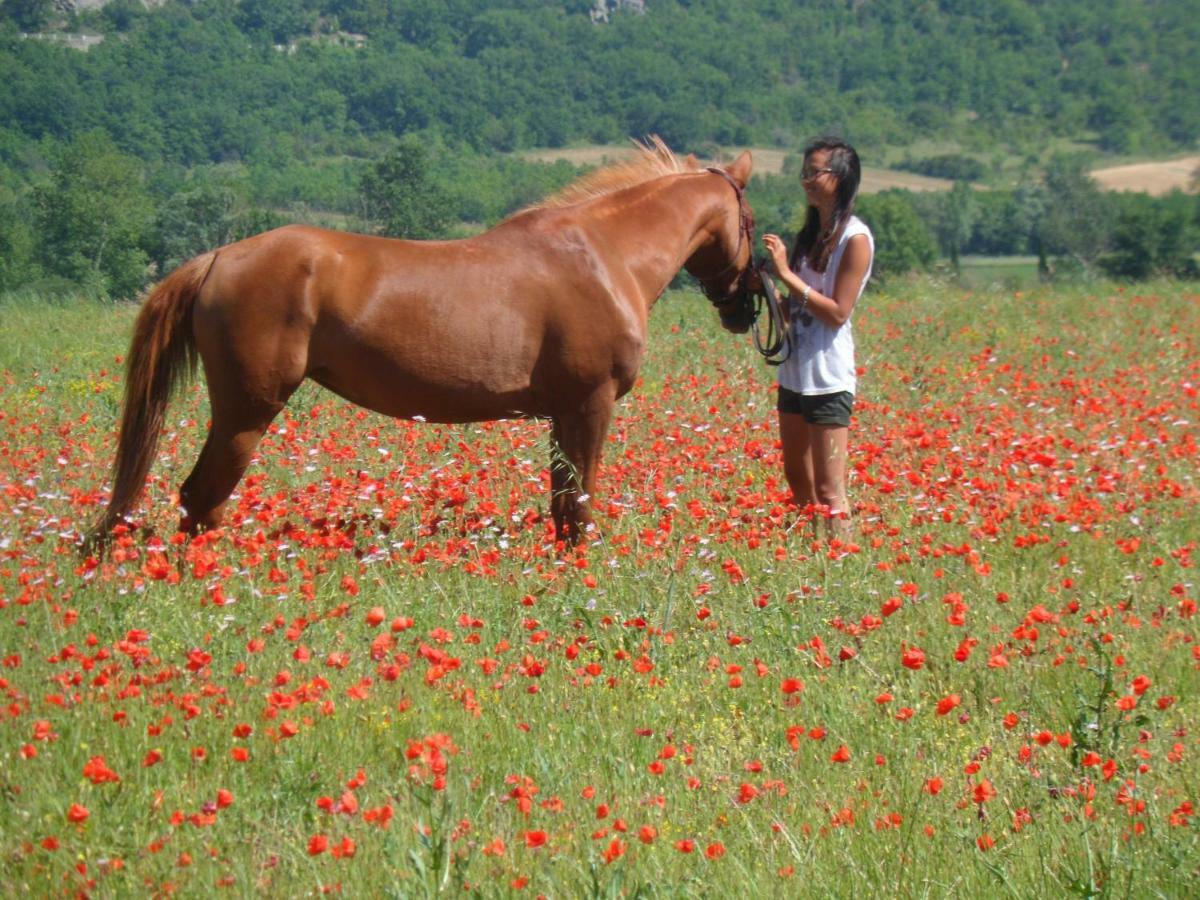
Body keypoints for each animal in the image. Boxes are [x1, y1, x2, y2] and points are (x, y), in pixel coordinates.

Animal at [88, 141, 753, 549]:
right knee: (201, 497)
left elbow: (563, 506)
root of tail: (217, 258)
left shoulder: (563, 414)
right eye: (750, 222)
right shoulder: (590, 405)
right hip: (245, 413)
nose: (743, 312)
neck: (601, 254)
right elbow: (579, 508)